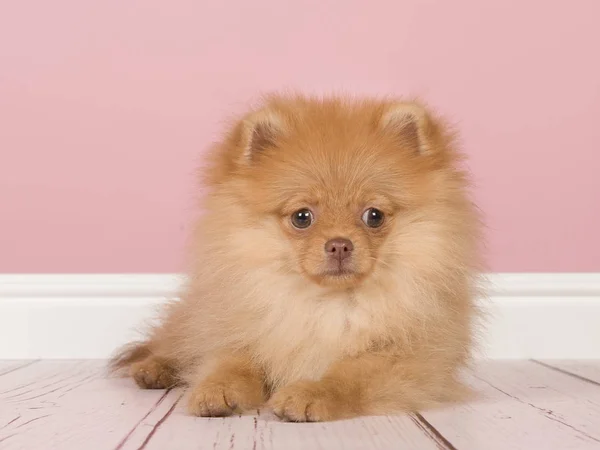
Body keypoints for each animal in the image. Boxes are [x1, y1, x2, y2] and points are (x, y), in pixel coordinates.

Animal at [111, 93, 482, 420]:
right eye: (302, 217)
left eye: (374, 216)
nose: (339, 244)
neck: (326, 305)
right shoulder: (239, 332)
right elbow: (231, 362)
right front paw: (217, 389)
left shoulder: (405, 360)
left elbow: (348, 376)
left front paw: (310, 394)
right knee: (175, 340)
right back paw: (153, 368)